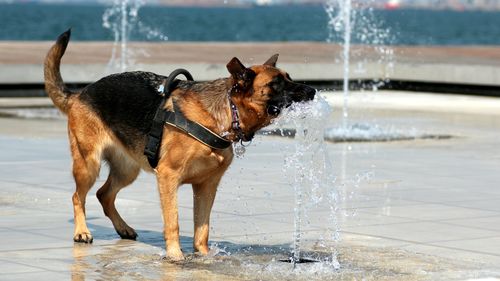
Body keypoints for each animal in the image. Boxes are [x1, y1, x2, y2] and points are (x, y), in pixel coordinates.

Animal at [44, 29, 316, 260]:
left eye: (289, 78)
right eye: (276, 84)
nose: (313, 91)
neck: (225, 113)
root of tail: (79, 94)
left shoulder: (207, 186)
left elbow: (202, 227)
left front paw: (204, 256)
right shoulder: (168, 177)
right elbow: (172, 221)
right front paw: (175, 257)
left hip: (127, 170)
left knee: (104, 194)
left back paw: (123, 228)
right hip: (88, 164)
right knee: (78, 196)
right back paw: (82, 231)